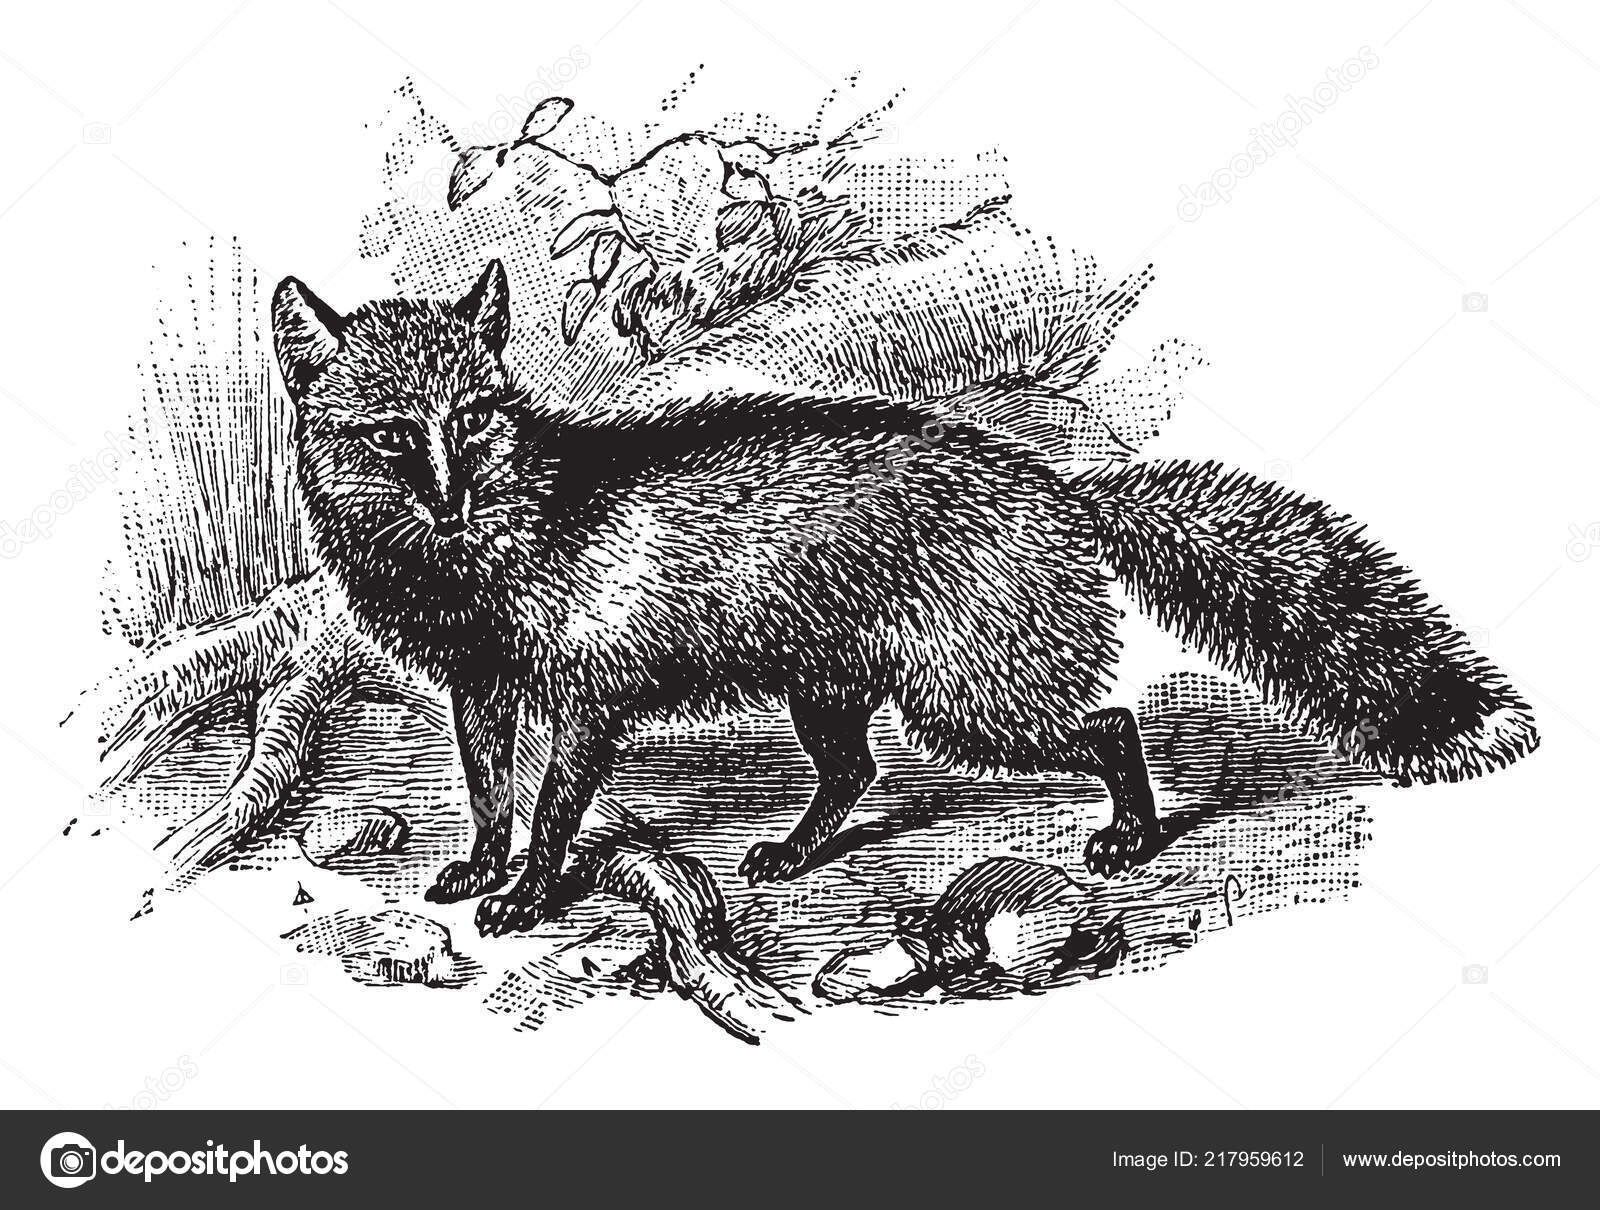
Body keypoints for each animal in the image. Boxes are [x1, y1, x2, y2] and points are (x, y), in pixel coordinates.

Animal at [271, 259, 1538, 937]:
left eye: (474, 416)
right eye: (392, 434)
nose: (447, 498)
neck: (485, 556)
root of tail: (1058, 485)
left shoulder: (586, 700)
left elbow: (547, 813)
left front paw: (526, 895)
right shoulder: (482, 688)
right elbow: (489, 794)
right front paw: (477, 870)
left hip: (966, 705)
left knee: (1108, 722)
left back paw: (1129, 834)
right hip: (832, 693)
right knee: (855, 774)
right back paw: (793, 855)